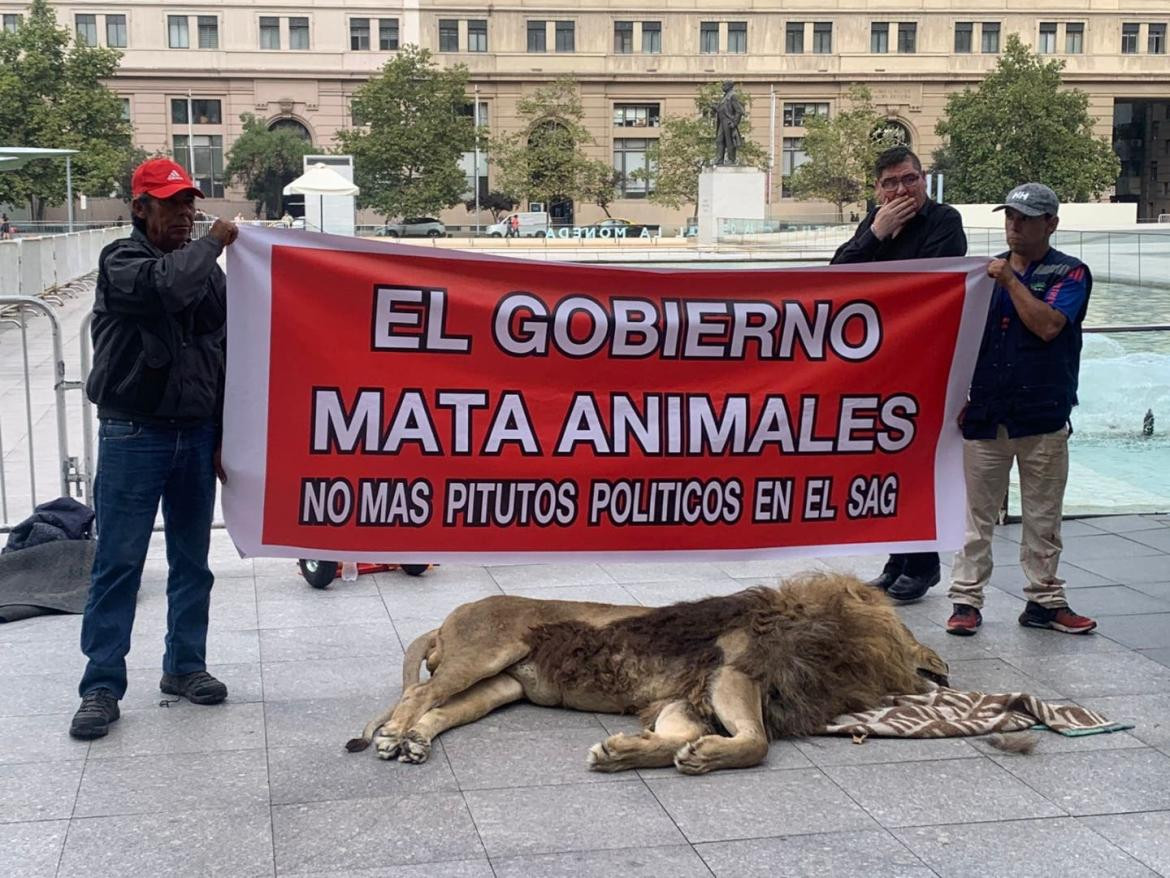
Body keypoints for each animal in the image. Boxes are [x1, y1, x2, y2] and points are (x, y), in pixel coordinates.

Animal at [346, 573, 950, 772]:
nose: (941, 677)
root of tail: (450, 617)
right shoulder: (732, 672)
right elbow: (756, 742)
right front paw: (705, 758)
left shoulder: (687, 699)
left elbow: (675, 739)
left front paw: (623, 753)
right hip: (485, 654)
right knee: (418, 696)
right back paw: (395, 736)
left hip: (499, 687)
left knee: (439, 710)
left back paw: (416, 743)